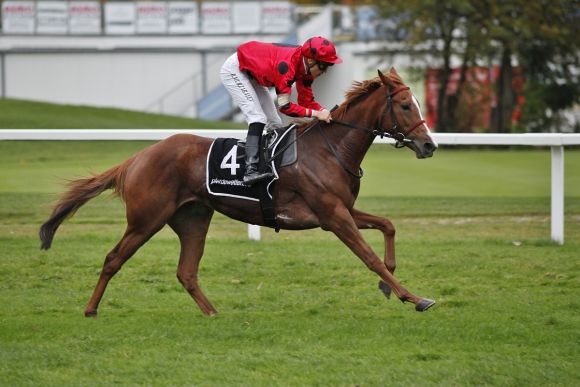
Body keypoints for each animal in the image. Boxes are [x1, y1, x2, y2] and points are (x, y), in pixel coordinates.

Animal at [39, 69, 440, 318]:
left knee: (186, 272)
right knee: (113, 259)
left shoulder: (340, 210)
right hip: (145, 219)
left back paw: (213, 313)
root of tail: (137, 157)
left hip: (192, 218)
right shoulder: (333, 216)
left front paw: (388, 286)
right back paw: (90, 309)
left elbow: (388, 226)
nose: (429, 145)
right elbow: (369, 256)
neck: (330, 148)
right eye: (406, 105)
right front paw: (413, 297)